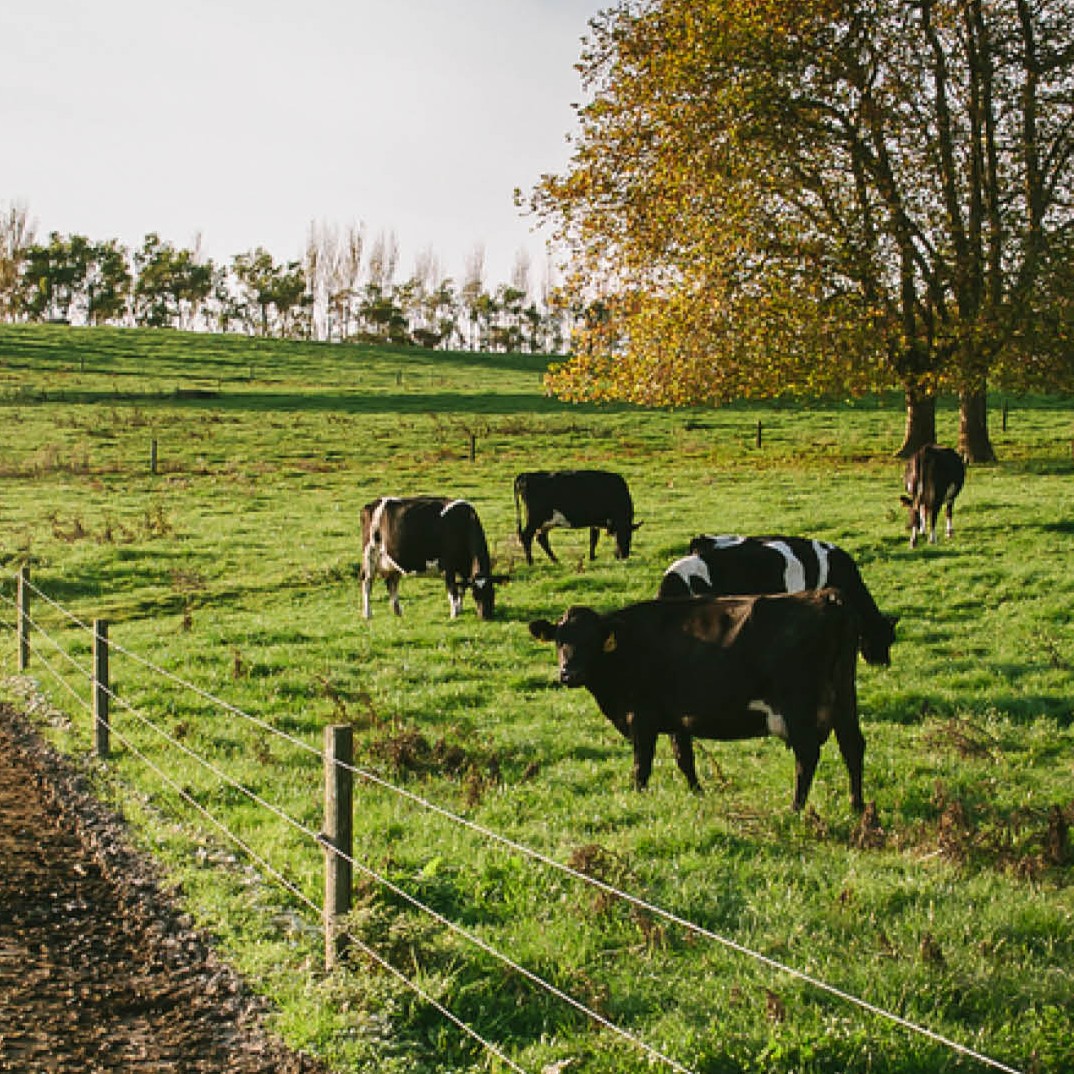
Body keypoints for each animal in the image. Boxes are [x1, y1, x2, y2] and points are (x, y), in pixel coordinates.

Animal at [360, 496, 503, 620]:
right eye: (476, 595)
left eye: (492, 593)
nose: (486, 616)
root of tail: (371, 504)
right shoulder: (448, 566)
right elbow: (453, 591)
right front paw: (454, 615)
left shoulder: (464, 569)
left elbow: (462, 589)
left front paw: (460, 609)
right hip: (369, 554)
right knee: (367, 582)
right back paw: (367, 614)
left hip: (391, 561)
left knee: (392, 584)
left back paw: (398, 612)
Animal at [529, 591, 864, 812]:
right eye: (559, 640)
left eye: (591, 640)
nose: (568, 673)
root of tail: (825, 596)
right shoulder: (678, 718)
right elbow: (684, 759)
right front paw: (698, 794)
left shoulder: (642, 717)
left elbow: (641, 765)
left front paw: (637, 798)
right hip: (844, 696)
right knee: (852, 746)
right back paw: (857, 806)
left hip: (798, 705)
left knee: (807, 756)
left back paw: (795, 809)